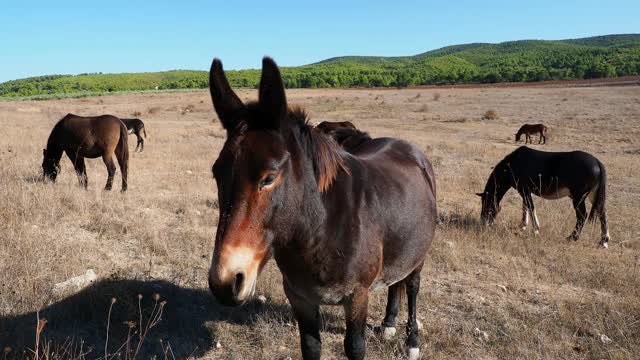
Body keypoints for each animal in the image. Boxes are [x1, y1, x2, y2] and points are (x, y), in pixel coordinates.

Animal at [208, 57, 438, 358]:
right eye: (216, 173)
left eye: (269, 178)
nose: (225, 283)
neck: (319, 230)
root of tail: (407, 145)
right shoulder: (300, 296)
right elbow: (310, 346)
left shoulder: (357, 296)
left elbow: (355, 347)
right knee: (395, 282)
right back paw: (388, 324)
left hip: (418, 256)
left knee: (411, 287)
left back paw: (412, 342)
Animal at [476, 146, 608, 248]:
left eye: (487, 203)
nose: (484, 223)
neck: (512, 165)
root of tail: (597, 162)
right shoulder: (524, 191)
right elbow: (525, 207)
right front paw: (523, 226)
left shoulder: (524, 190)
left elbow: (530, 207)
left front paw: (536, 230)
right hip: (593, 195)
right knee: (602, 213)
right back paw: (604, 241)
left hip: (578, 197)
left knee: (582, 216)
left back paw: (572, 237)